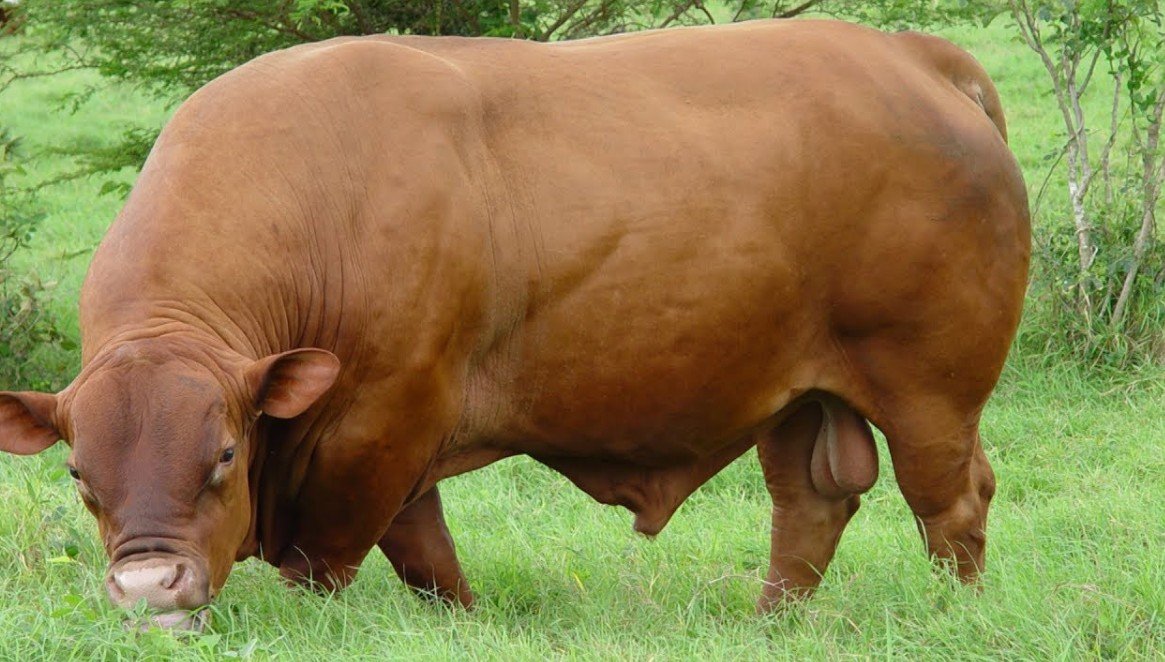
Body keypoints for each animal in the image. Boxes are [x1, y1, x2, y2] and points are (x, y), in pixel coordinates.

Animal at [0, 19, 1029, 630]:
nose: (149, 589)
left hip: (929, 391)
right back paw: (768, 625)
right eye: (80, 474)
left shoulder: (374, 426)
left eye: (221, 454)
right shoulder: (389, 439)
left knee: (952, 503)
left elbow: (329, 561)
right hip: (797, 393)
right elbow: (427, 555)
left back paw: (955, 620)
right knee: (810, 506)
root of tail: (906, 52)